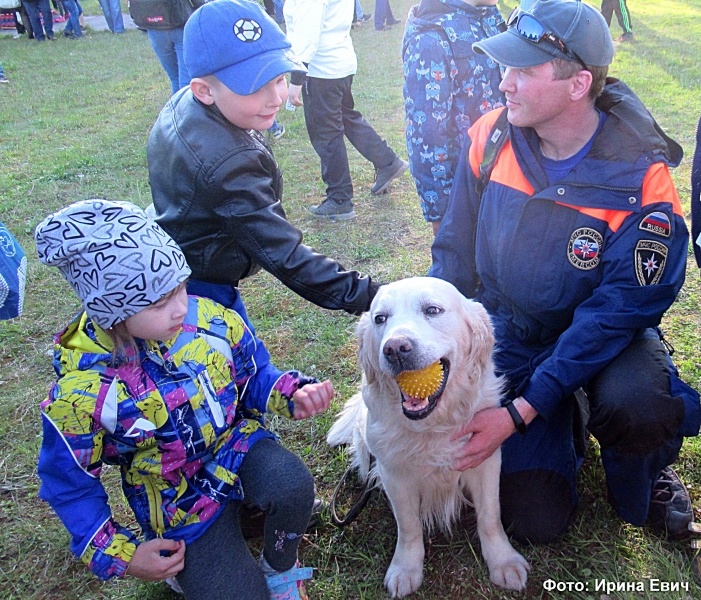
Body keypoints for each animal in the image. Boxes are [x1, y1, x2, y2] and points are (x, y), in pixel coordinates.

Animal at [326, 278, 528, 596]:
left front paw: (503, 561)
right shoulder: (394, 474)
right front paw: (405, 569)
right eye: (380, 318)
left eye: (432, 310)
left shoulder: (486, 459)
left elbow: (490, 516)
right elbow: (408, 526)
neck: (433, 426)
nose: (395, 348)